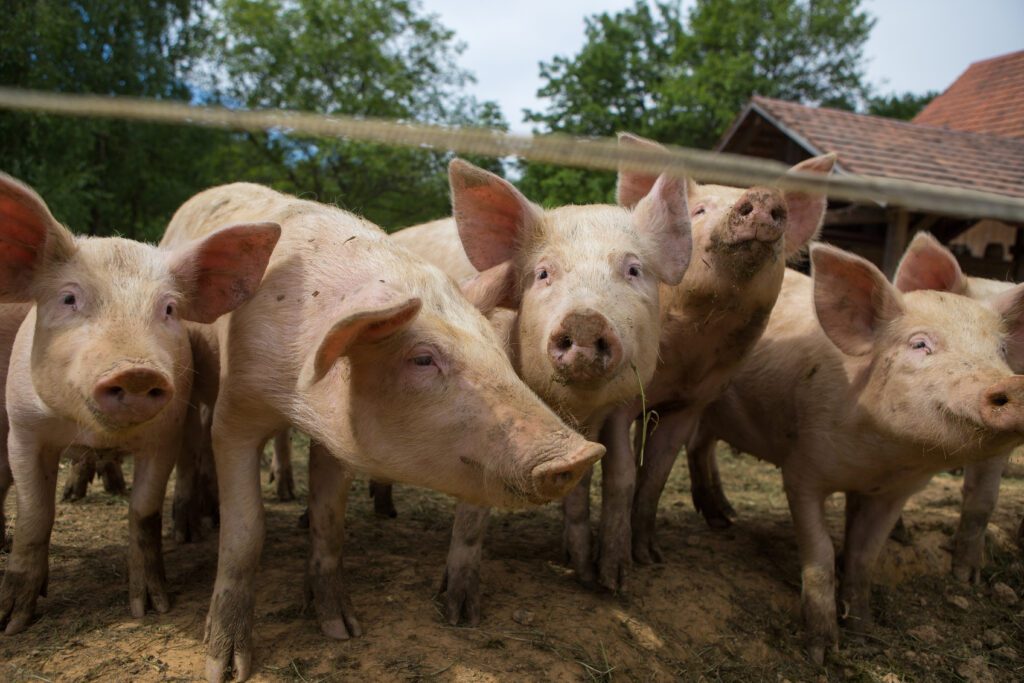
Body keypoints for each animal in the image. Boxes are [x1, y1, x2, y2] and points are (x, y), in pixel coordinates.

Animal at [0, 173, 281, 634]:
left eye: (168, 308)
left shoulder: (164, 434)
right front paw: (13, 623)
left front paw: (151, 607)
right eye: (69, 299)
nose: (136, 371)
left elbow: (144, 511)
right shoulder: (24, 429)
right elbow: (34, 514)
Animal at [159, 181, 605, 682]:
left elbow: (330, 521)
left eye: (497, 351)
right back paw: (192, 527)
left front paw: (342, 629)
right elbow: (245, 531)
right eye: (422, 358)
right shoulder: (236, 411)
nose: (582, 453)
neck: (298, 394)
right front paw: (225, 667)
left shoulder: (334, 434)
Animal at [390, 156, 693, 624]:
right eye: (544, 273)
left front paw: (599, 580)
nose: (585, 318)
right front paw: (460, 614)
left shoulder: (610, 414)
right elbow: (474, 507)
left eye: (633, 269)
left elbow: (601, 483)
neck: (570, 410)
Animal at [600, 134, 834, 587]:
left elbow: (655, 476)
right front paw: (614, 579)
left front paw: (651, 558)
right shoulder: (621, 399)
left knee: (701, 447)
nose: (761, 195)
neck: (685, 359)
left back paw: (724, 518)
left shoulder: (691, 402)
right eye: (699, 210)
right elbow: (622, 474)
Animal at [689, 244, 1024, 662]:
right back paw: (719, 523)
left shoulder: (894, 493)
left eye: (1001, 350)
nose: (1013, 385)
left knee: (701, 446)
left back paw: (724, 515)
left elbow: (864, 557)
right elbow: (819, 554)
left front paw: (863, 635)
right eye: (920, 344)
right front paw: (821, 651)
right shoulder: (802, 469)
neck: (882, 459)